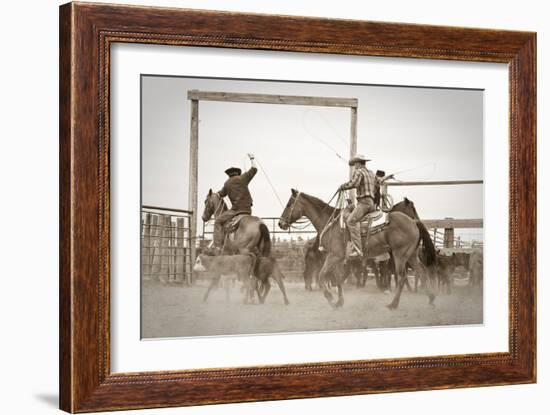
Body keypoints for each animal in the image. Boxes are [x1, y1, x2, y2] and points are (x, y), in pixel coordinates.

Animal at [282, 190, 438, 310]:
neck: (330, 222)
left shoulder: (334, 256)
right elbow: (337, 279)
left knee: (402, 277)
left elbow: (322, 276)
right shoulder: (337, 258)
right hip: (411, 255)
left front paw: (331, 298)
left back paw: (393, 304)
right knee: (422, 271)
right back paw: (431, 298)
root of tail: (413, 222)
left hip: (400, 255)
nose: (280, 223)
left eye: (289, 204)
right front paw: (339, 302)